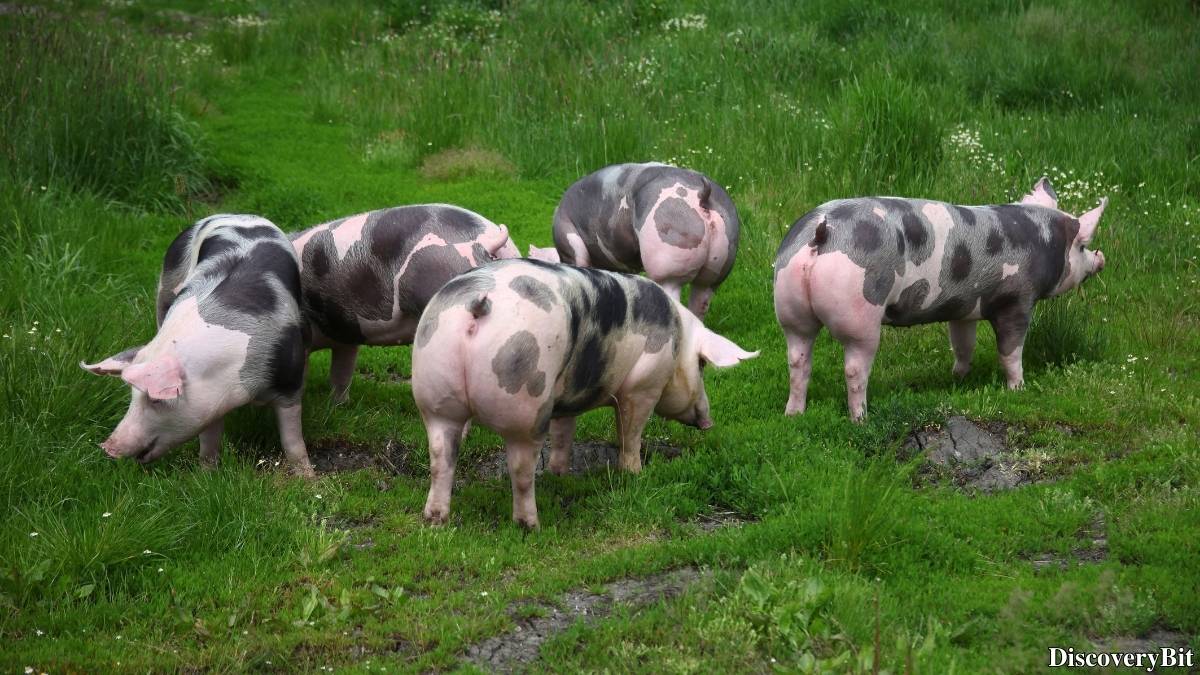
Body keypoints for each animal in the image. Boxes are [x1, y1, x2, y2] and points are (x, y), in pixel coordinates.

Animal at [83, 215, 315, 476]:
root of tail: (235, 215)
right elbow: (209, 440)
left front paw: (307, 478)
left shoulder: (290, 381)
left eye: (156, 400)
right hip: (165, 287)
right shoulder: (209, 401)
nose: (107, 447)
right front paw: (205, 474)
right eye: (132, 395)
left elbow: (293, 439)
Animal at [411, 258, 758, 528]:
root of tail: (478, 303)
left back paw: (435, 519)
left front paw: (559, 474)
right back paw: (530, 525)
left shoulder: (566, 399)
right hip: (525, 401)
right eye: (702, 365)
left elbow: (565, 433)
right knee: (520, 470)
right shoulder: (642, 385)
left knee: (441, 457)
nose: (708, 422)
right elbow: (630, 432)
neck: (678, 337)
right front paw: (635, 474)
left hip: (434, 394)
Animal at [774, 177, 1107, 421]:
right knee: (854, 368)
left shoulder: (962, 307)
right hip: (860, 314)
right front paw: (1018, 389)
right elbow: (1010, 350)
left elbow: (963, 344)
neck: (1040, 240)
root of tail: (822, 232)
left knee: (797, 360)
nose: (1101, 258)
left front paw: (958, 378)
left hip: (789, 309)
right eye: (1082, 246)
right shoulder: (1017, 300)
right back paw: (861, 419)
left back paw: (793, 414)